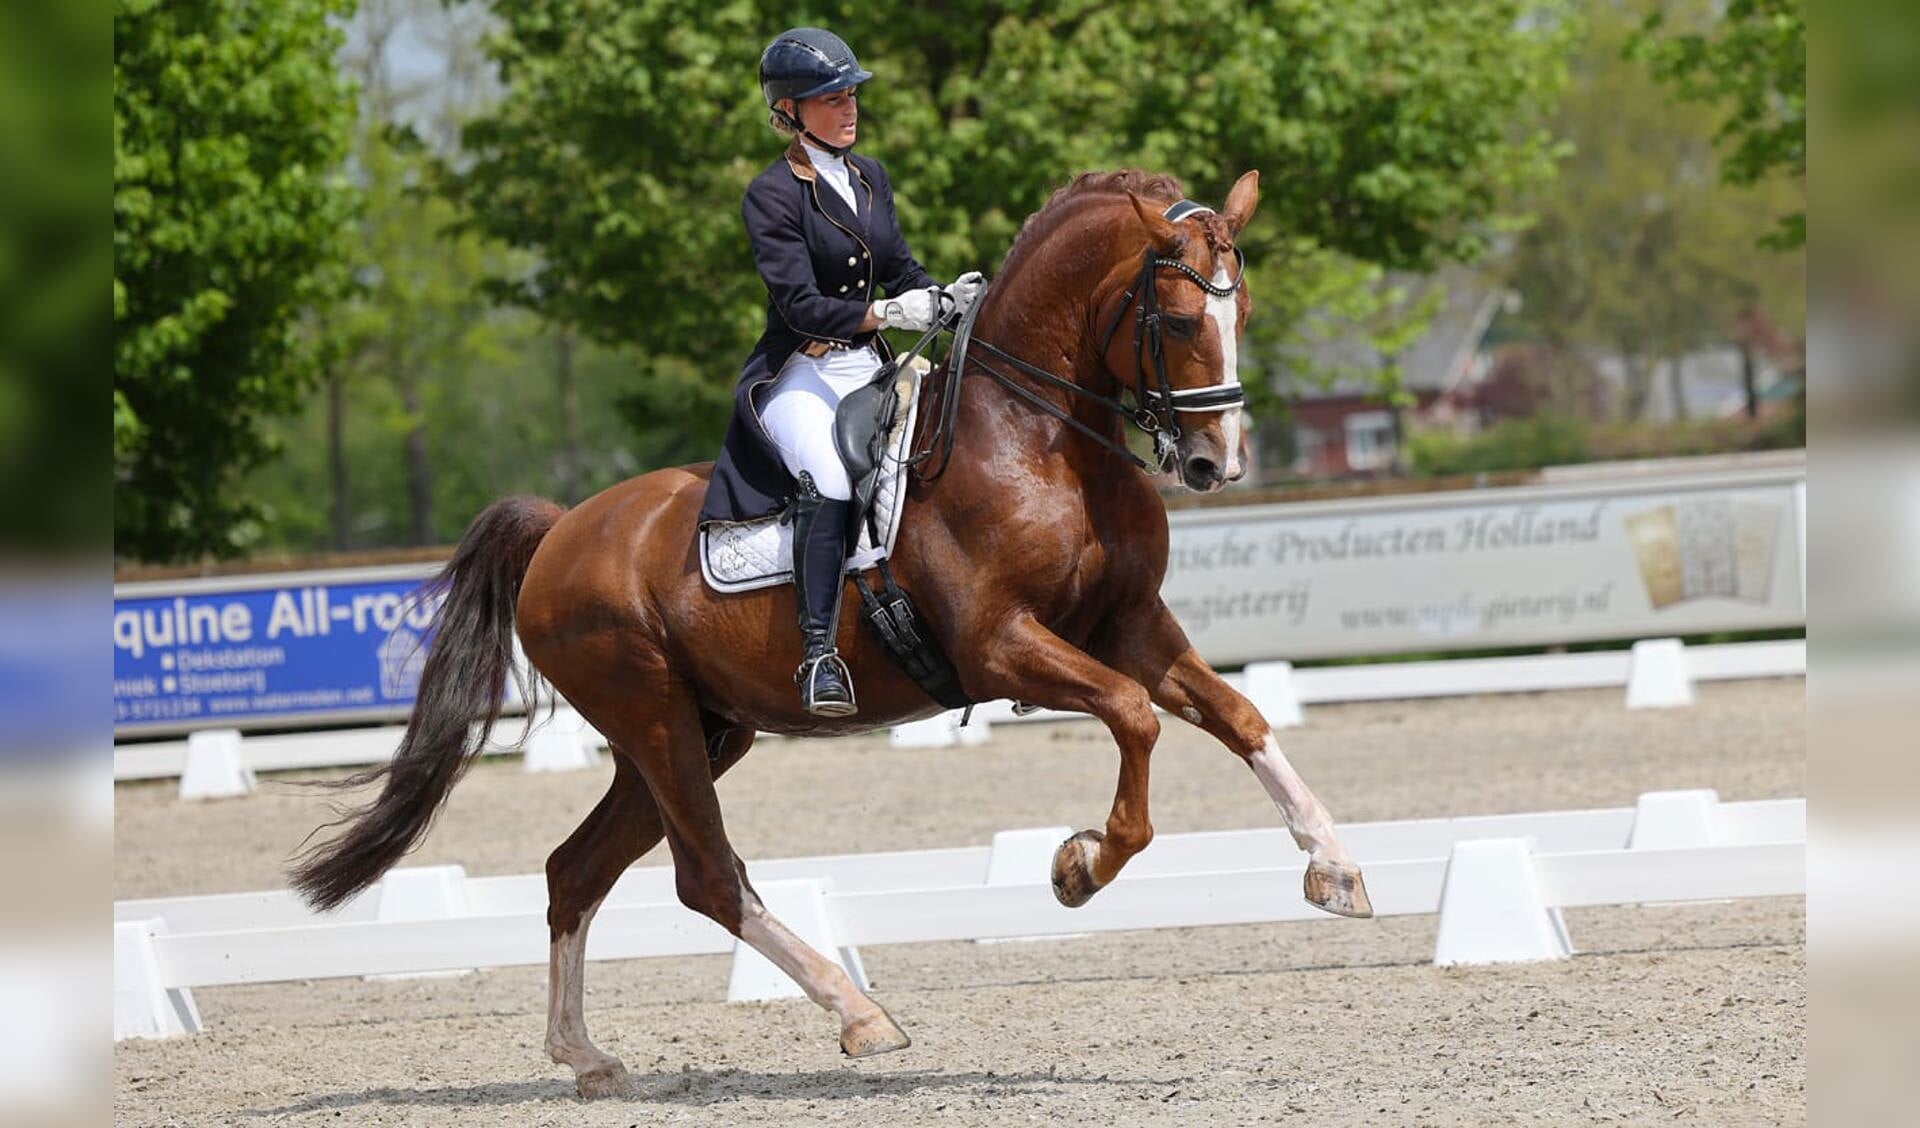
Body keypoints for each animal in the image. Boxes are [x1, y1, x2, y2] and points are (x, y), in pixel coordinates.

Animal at [288, 171, 1367, 1097]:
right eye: (1180, 320)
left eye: (1243, 316)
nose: (1215, 462)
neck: (1041, 440)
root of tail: (560, 531)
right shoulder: (1002, 646)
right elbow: (1137, 720)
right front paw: (1078, 867)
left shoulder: (1128, 623)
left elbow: (1239, 716)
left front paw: (1335, 868)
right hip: (656, 723)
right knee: (708, 879)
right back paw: (860, 1014)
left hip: (698, 732)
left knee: (576, 871)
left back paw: (588, 1058)